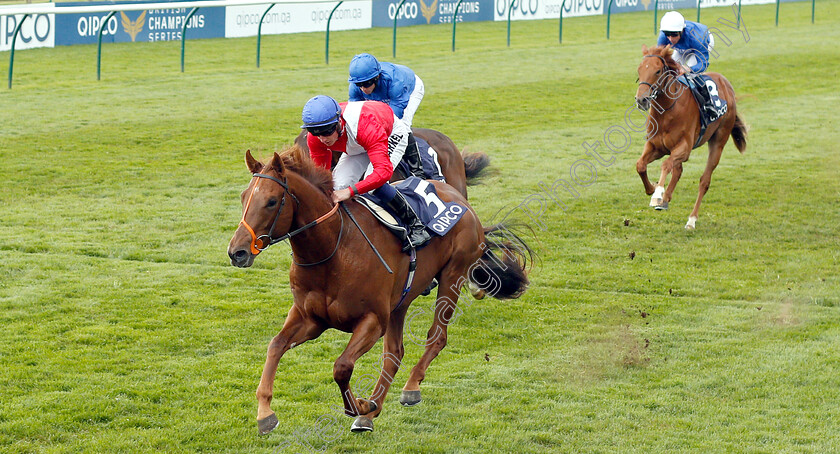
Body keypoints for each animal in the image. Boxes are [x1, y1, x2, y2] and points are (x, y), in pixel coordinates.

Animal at [225, 147, 532, 434]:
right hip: (401, 299)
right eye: (243, 197)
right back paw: (372, 412)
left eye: (271, 201)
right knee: (394, 353)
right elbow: (275, 346)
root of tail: (459, 197)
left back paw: (409, 389)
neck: (334, 249)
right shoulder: (310, 318)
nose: (237, 252)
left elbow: (342, 367)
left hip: (452, 276)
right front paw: (265, 413)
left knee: (437, 337)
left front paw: (360, 405)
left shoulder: (372, 320)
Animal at [632, 44, 744, 229]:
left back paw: (691, 220)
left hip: (719, 141)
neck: (667, 111)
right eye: (639, 69)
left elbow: (666, 165)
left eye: (657, 71)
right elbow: (640, 165)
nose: (642, 100)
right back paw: (666, 199)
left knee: (704, 181)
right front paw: (654, 189)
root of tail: (726, 83)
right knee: (678, 170)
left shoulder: (684, 148)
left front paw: (658, 193)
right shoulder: (655, 146)